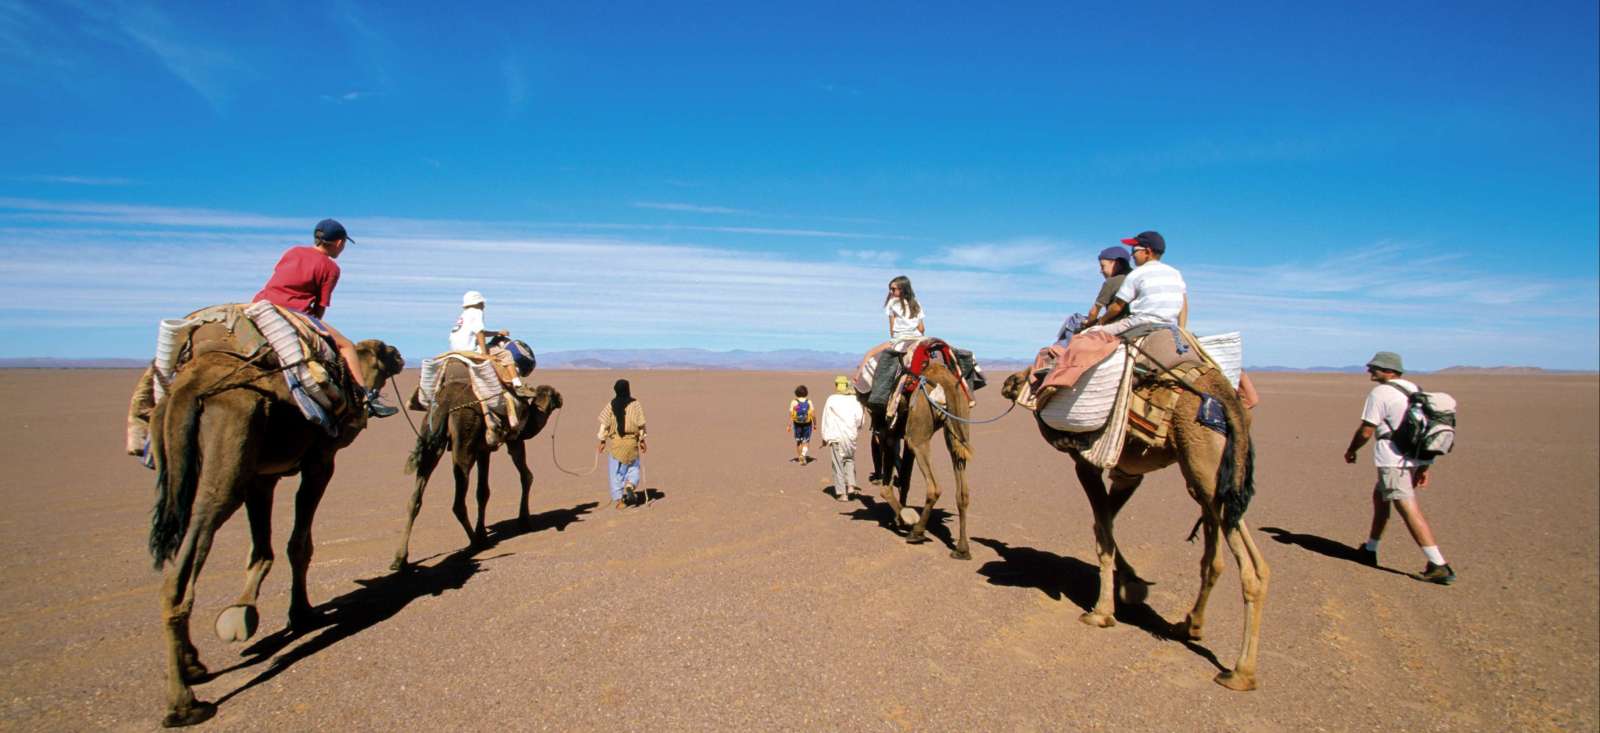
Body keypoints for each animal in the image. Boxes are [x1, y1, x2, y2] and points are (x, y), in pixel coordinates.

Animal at [147, 336, 403, 726]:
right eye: (387, 350)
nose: (402, 356)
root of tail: (185, 391)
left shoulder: (261, 478)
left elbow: (261, 551)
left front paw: (245, 612)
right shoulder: (319, 461)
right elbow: (299, 545)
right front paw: (301, 613)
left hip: (179, 474)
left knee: (182, 561)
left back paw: (193, 664)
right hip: (224, 474)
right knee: (179, 578)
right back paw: (184, 704)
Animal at [388, 361, 560, 572]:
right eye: (552, 394)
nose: (561, 398)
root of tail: (445, 402)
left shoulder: (482, 450)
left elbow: (482, 492)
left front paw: (484, 530)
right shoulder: (509, 441)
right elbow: (522, 478)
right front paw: (522, 521)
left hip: (430, 440)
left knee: (415, 499)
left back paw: (400, 559)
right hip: (464, 442)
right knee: (458, 503)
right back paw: (477, 542)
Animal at [864, 361, 972, 560]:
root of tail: (946, 381)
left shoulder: (887, 435)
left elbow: (887, 488)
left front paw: (902, 519)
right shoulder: (902, 439)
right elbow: (905, 479)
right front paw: (898, 517)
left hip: (919, 435)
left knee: (934, 487)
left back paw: (917, 532)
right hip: (957, 429)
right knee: (962, 492)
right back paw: (962, 549)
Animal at [998, 366, 1273, 691]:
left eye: (1033, 374)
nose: (1007, 382)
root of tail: (1229, 400)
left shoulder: (1088, 462)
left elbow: (1103, 533)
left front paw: (1102, 612)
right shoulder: (1128, 475)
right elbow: (1103, 524)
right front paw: (1130, 583)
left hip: (1207, 470)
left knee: (1250, 569)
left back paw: (1240, 673)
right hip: (1211, 480)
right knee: (1217, 560)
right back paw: (1190, 625)